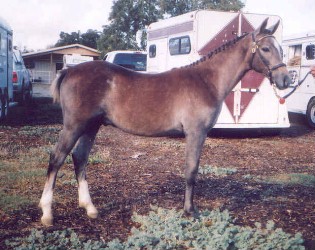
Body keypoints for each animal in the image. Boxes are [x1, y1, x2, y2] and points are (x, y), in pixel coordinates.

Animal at [40, 18, 294, 226]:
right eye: (265, 48)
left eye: (281, 48)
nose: (285, 80)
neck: (206, 80)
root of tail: (69, 72)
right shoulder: (195, 133)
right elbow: (191, 170)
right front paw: (190, 211)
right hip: (74, 126)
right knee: (57, 158)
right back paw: (47, 213)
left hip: (91, 127)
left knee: (79, 158)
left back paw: (90, 208)